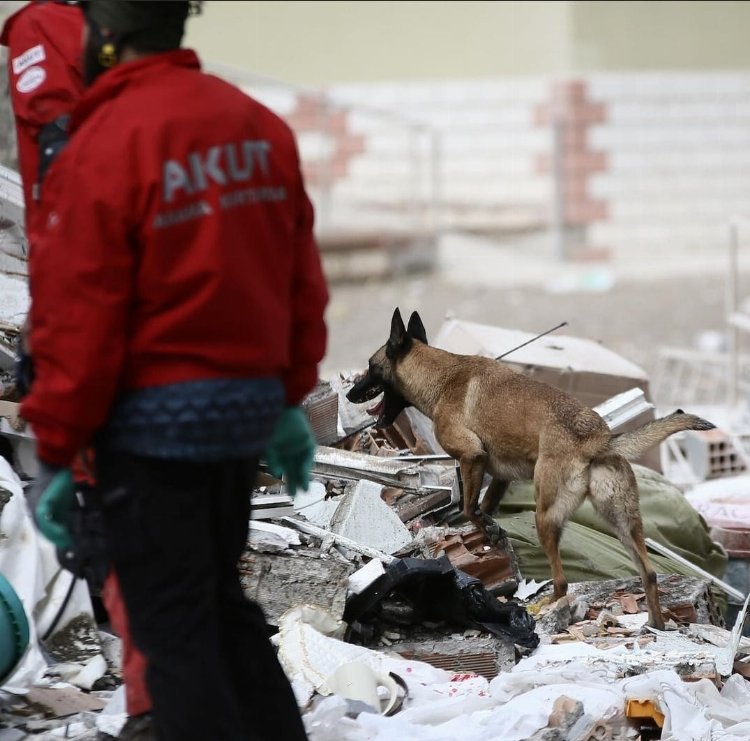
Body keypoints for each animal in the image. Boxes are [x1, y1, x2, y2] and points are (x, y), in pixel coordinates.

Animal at [350, 310, 720, 628]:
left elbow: (468, 507)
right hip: (623, 522)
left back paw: (544, 611)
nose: (351, 392)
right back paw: (655, 624)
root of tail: (595, 437)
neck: (441, 374)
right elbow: (481, 508)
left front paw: (488, 529)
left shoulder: (472, 456)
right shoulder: (498, 475)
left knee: (561, 582)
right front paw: (492, 533)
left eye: (370, 366)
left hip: (546, 517)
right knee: (649, 572)